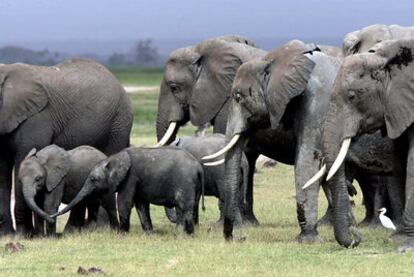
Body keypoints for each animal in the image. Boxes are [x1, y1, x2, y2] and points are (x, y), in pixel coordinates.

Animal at [0, 58, 132, 235]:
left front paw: (25, 234)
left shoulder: (36, 119)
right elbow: (2, 169)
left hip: (118, 125)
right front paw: (7, 234)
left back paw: (99, 228)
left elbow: (22, 159)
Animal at [53, 146, 205, 234]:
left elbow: (124, 202)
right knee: (189, 206)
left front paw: (121, 234)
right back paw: (188, 234)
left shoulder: (130, 176)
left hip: (185, 181)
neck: (114, 157)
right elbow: (141, 204)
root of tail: (199, 167)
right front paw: (149, 234)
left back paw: (182, 235)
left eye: (93, 179)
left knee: (183, 205)